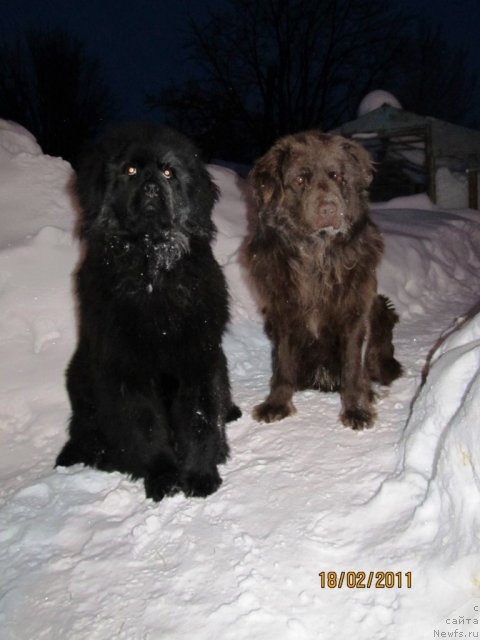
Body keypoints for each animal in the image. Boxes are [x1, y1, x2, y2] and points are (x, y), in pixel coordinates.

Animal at [56, 124, 240, 500]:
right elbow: (147, 427)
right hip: (81, 376)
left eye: (169, 171)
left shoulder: (198, 360)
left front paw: (200, 474)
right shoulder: (127, 370)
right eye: (129, 170)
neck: (150, 270)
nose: (152, 185)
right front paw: (164, 477)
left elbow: (200, 419)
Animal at [246, 130, 404, 430]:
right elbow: (283, 364)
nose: (330, 208)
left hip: (381, 308)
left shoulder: (355, 313)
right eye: (300, 180)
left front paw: (356, 409)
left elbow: (353, 367)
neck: (316, 256)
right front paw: (277, 403)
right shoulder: (282, 314)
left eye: (337, 176)